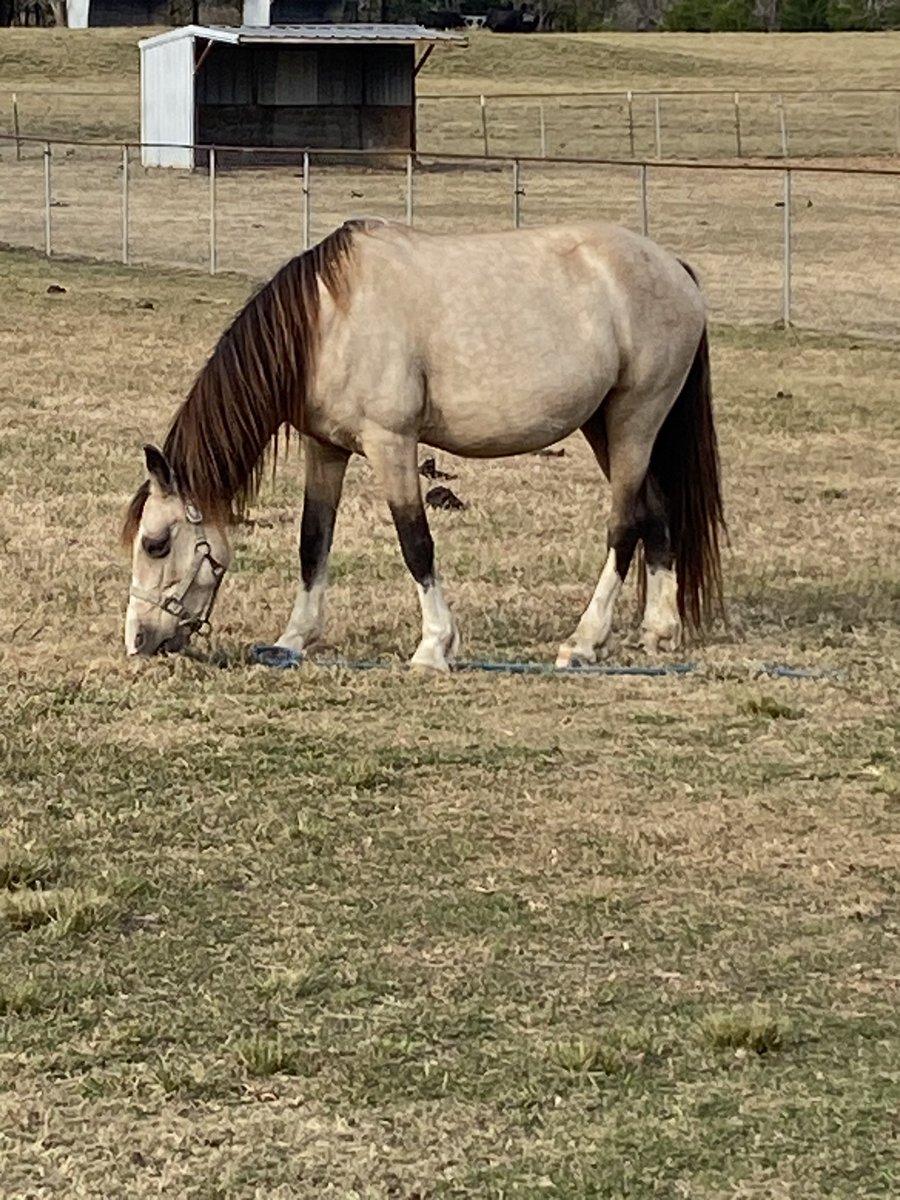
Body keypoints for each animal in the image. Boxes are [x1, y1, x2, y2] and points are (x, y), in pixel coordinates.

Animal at [122, 218, 725, 671]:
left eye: (155, 544)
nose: (138, 641)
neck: (328, 321)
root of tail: (675, 269)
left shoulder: (391, 444)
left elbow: (416, 543)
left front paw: (434, 646)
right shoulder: (326, 448)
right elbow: (313, 542)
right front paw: (293, 640)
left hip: (634, 419)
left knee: (624, 527)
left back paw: (584, 641)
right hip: (608, 427)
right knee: (656, 513)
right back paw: (658, 631)